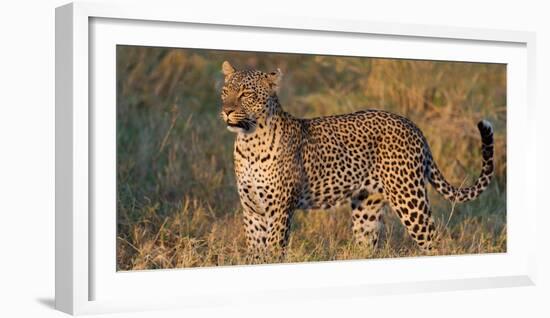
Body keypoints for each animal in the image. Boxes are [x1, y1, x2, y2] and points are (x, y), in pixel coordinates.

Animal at [219, 60, 496, 262]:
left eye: (245, 94)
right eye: (225, 92)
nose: (226, 111)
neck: (249, 142)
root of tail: (412, 125)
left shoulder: (279, 210)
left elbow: (274, 252)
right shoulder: (252, 211)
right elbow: (256, 254)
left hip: (409, 198)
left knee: (435, 242)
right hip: (367, 208)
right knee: (367, 247)